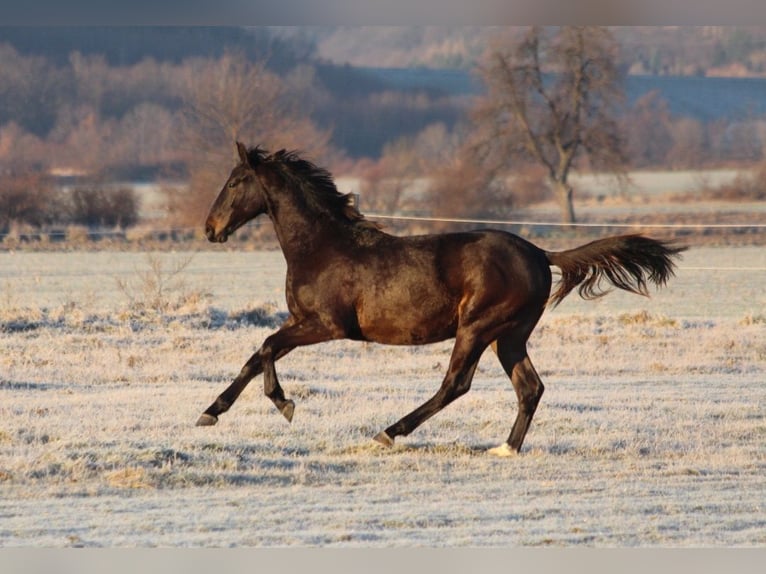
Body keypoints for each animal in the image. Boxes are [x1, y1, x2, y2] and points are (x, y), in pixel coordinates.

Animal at [200, 142, 688, 456]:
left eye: (236, 181)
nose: (210, 228)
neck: (322, 247)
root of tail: (539, 253)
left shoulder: (326, 325)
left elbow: (265, 348)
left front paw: (282, 404)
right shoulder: (303, 322)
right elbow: (256, 355)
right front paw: (212, 413)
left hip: (477, 327)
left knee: (456, 383)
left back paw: (389, 433)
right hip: (509, 336)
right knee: (529, 387)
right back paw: (505, 449)